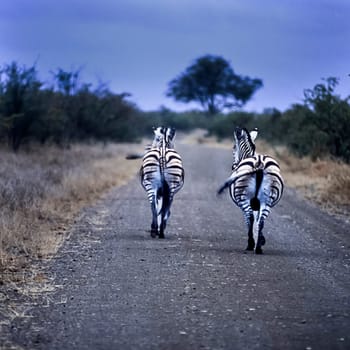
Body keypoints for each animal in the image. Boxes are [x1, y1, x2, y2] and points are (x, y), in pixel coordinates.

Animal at [216, 126, 284, 254]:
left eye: (234, 148)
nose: (233, 167)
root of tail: (259, 163)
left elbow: (250, 221)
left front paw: (255, 240)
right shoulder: (257, 203)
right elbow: (257, 221)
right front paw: (261, 240)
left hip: (244, 198)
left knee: (250, 217)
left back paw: (250, 244)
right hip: (268, 199)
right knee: (261, 220)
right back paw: (258, 248)